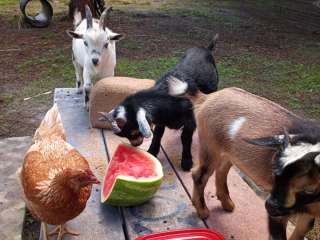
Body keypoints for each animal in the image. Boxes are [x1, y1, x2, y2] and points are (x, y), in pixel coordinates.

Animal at [99, 35, 220, 171]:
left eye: (134, 131)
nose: (135, 144)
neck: (168, 96)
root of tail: (206, 49)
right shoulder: (160, 119)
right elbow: (157, 134)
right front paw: (152, 151)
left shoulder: (190, 119)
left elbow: (185, 137)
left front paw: (186, 161)